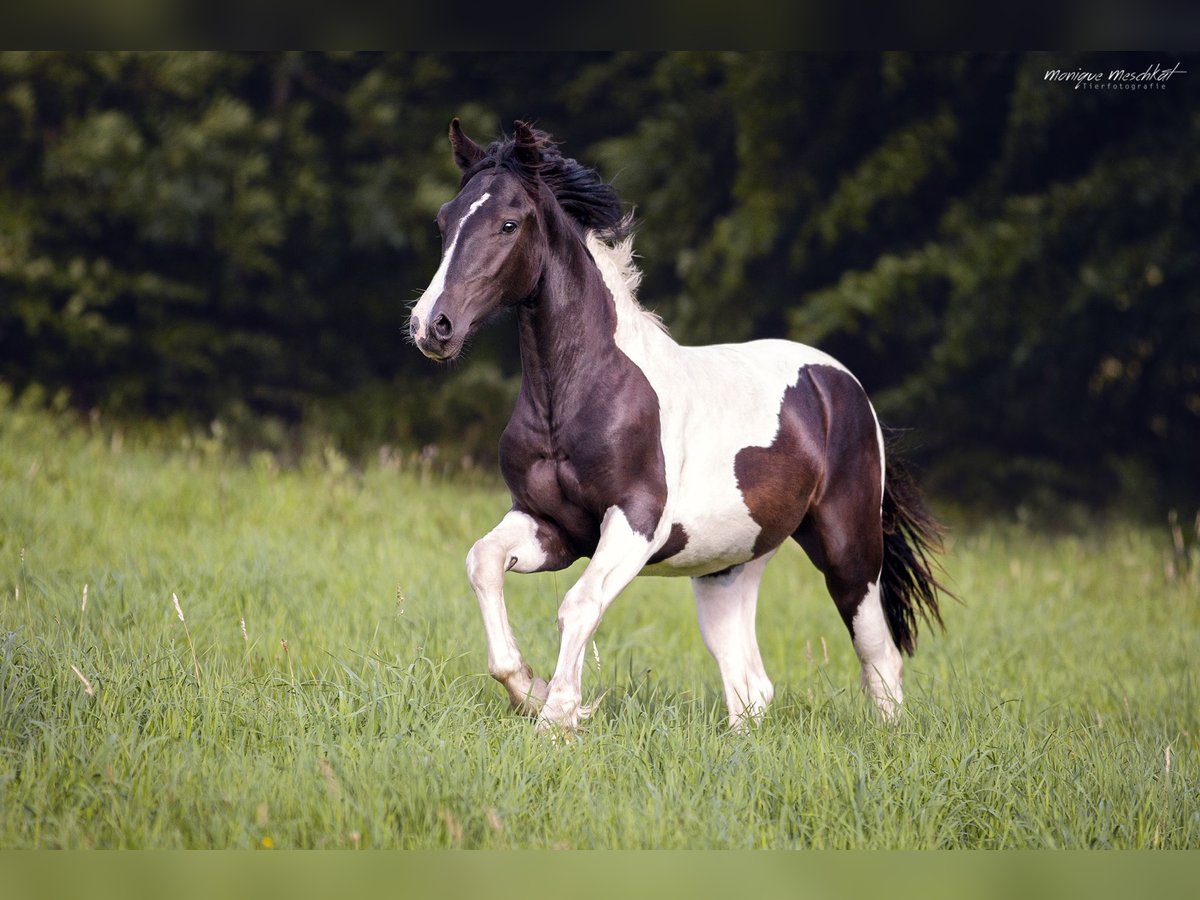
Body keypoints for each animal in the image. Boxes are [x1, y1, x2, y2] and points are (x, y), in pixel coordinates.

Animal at [412, 118, 945, 734]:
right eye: (444, 220)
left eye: (508, 223)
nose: (431, 326)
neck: (576, 398)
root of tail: (840, 384)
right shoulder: (550, 525)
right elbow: (483, 561)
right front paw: (530, 689)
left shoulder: (636, 522)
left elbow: (579, 605)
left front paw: (558, 718)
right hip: (729, 567)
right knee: (750, 686)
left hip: (849, 550)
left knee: (879, 660)